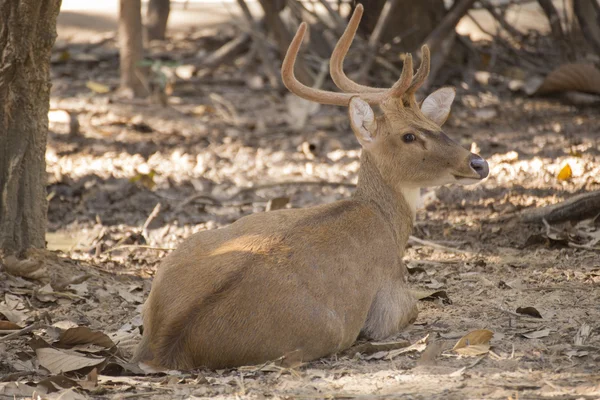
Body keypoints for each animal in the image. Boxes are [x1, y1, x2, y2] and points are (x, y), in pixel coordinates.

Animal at [131, 4, 488, 370]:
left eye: (436, 125)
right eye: (409, 136)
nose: (478, 163)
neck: (387, 224)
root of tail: (165, 345)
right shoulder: (390, 298)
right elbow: (412, 309)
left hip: (184, 249)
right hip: (322, 333)